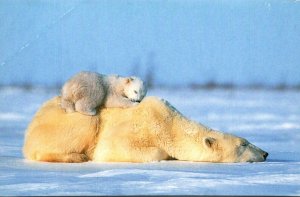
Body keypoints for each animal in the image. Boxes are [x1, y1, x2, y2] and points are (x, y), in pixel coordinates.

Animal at [22, 96, 268, 162]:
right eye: (243, 144)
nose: (266, 153)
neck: (170, 124)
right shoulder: (137, 126)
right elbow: (114, 148)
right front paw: (167, 156)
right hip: (66, 120)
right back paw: (76, 156)